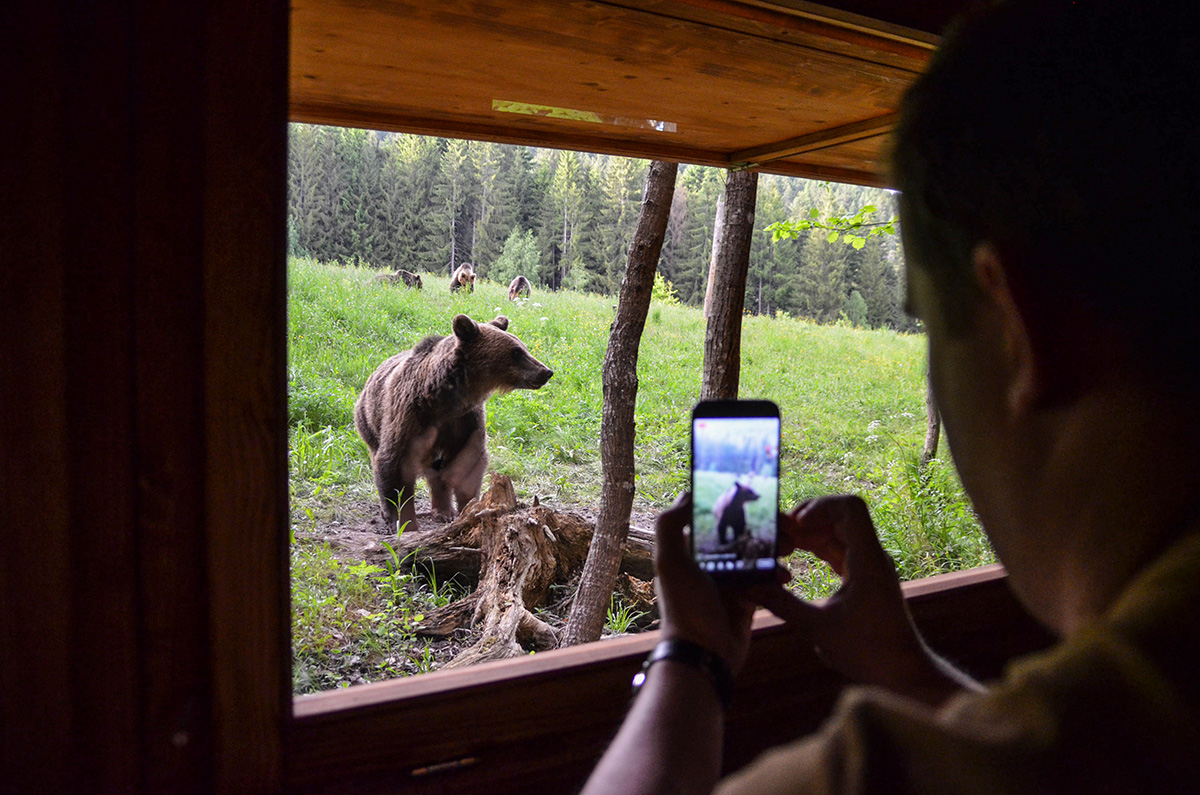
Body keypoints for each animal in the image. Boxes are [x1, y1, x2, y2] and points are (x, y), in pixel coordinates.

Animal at [350, 314, 549, 533]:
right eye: (516, 352)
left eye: (523, 347)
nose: (546, 371)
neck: (446, 400)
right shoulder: (410, 416)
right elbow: (394, 464)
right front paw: (405, 522)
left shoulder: (465, 421)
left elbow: (469, 463)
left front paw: (468, 509)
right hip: (368, 422)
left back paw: (444, 510)